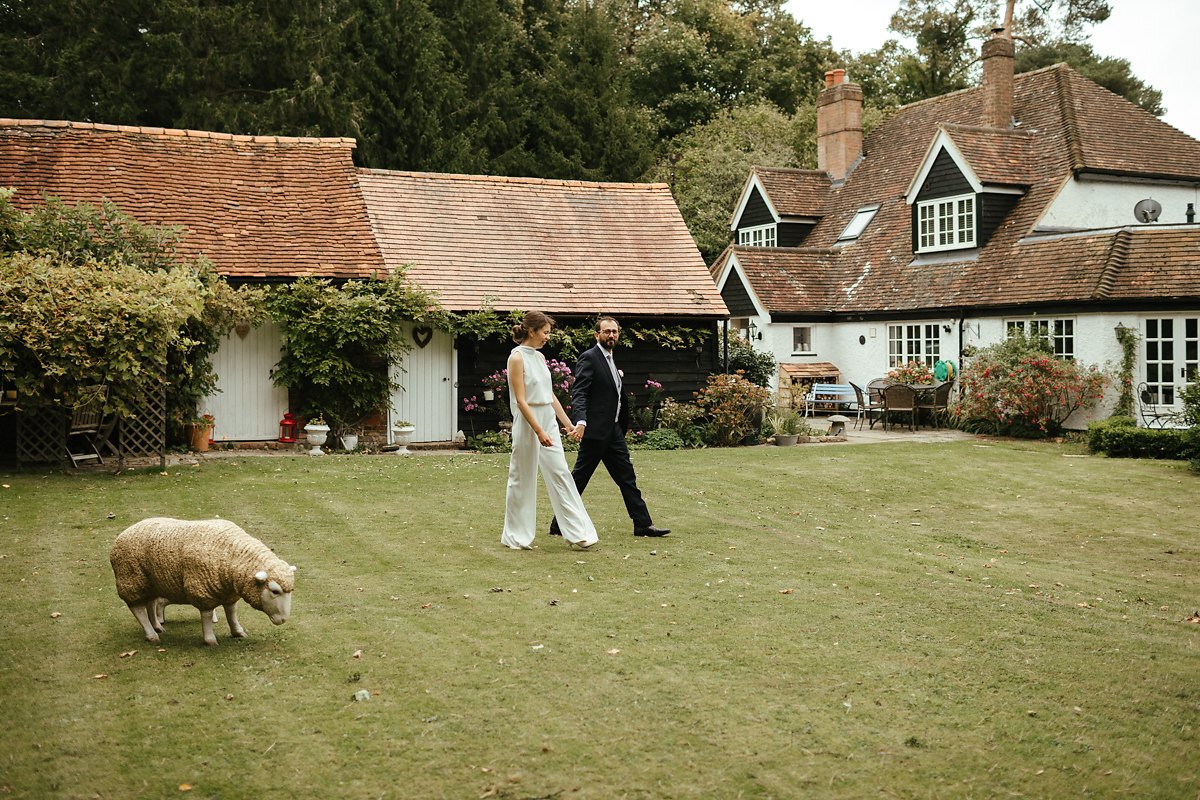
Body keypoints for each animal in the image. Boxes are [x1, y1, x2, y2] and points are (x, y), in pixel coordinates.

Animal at [109, 520, 295, 642]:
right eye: (275, 591)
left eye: (291, 591)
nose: (283, 620)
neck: (231, 555)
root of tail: (122, 534)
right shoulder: (201, 589)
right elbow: (206, 615)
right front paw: (210, 639)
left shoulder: (228, 592)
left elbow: (231, 613)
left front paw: (238, 631)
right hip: (131, 578)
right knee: (137, 608)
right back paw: (151, 635)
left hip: (151, 582)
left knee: (151, 603)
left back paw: (157, 626)